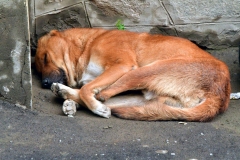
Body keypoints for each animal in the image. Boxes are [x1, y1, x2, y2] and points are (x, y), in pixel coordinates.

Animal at [35, 28, 231, 121]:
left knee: (103, 95)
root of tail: (222, 93)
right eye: (37, 69)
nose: (44, 83)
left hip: (144, 70)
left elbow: (87, 91)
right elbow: (87, 89)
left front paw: (96, 107)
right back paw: (65, 95)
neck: (87, 45)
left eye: (45, 58)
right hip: (143, 98)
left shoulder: (122, 65)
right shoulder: (95, 78)